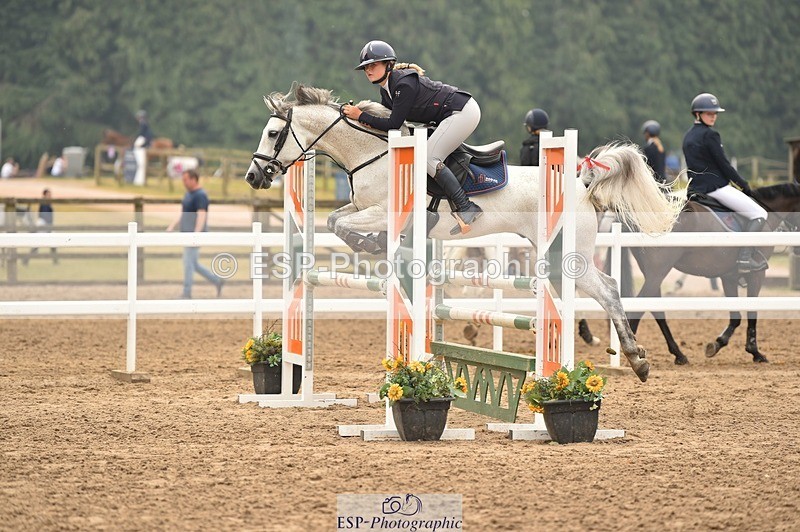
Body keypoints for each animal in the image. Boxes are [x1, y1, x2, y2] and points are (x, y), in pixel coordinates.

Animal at [243, 84, 679, 382]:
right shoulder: (362, 207)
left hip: (566, 256)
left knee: (607, 289)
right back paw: (634, 357)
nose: (253, 176)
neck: (370, 153)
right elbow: (335, 220)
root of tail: (583, 183)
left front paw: (369, 244)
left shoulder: (383, 212)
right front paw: (370, 244)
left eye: (272, 134)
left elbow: (344, 227)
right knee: (607, 287)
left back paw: (636, 359)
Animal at [599, 184, 800, 366]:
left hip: (654, 273)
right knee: (638, 310)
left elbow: (736, 316)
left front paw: (717, 344)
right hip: (658, 271)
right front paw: (755, 352)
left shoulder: (729, 276)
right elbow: (752, 311)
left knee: (656, 309)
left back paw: (679, 355)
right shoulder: (757, 274)